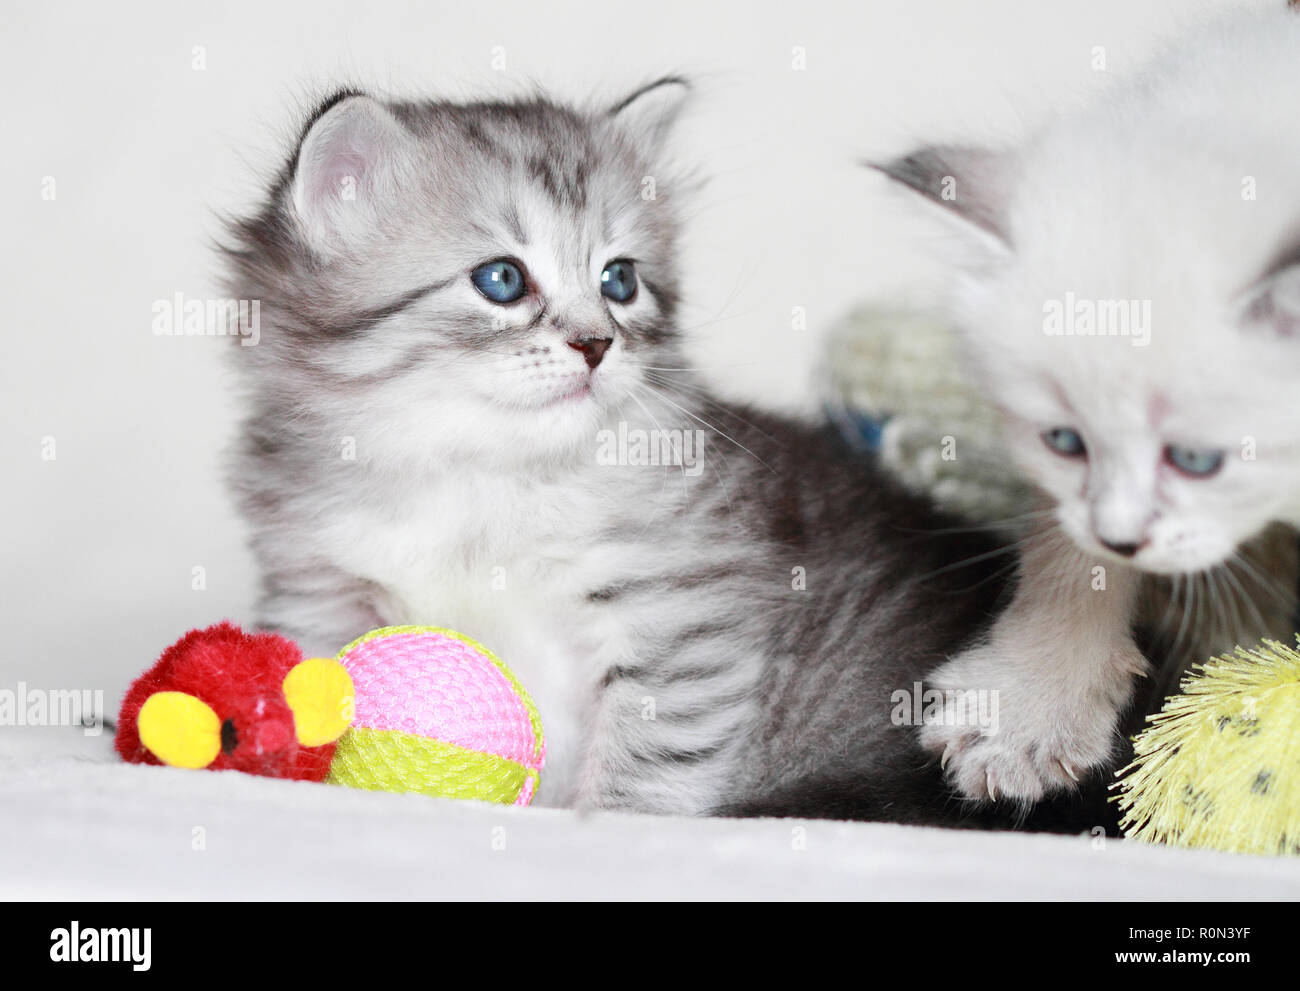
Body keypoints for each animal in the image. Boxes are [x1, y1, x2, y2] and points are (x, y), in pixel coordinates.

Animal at [228, 77, 1045, 816]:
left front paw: (615, 825)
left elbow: (651, 761)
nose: (596, 344)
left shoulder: (683, 615)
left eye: (619, 281)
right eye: (502, 279)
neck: (481, 473)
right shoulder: (317, 588)